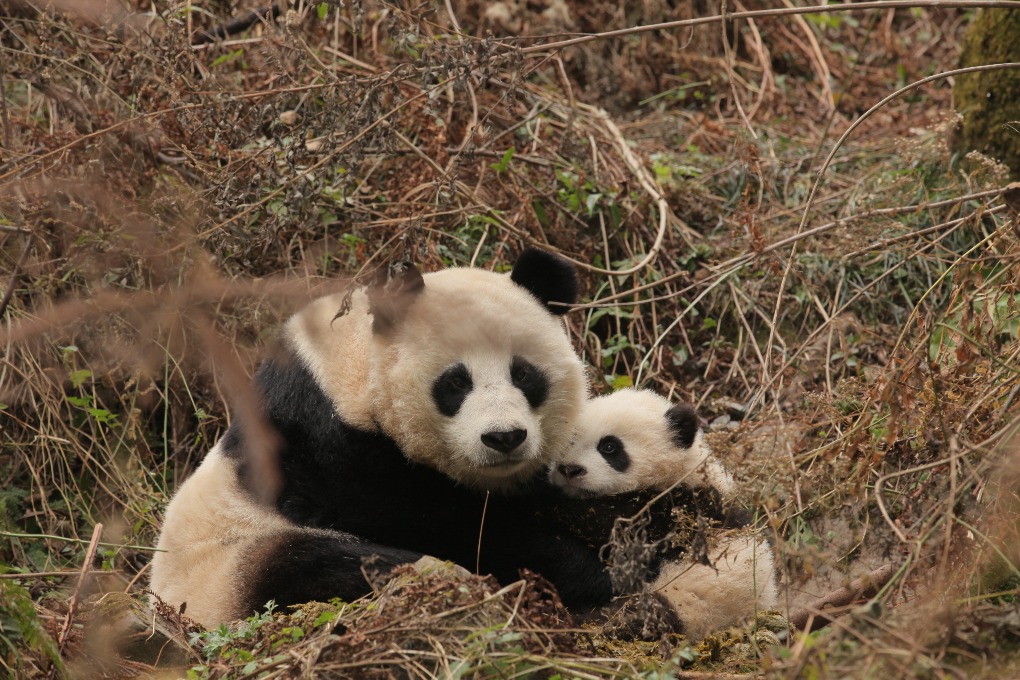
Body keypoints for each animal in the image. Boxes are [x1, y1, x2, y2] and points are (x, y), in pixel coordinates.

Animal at [148, 249, 612, 628]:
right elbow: (447, 524)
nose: (504, 437)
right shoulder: (324, 447)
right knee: (315, 565)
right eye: (456, 382)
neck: (352, 370)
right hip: (229, 565)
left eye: (524, 374)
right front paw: (585, 575)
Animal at [550, 387, 779, 644]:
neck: (681, 469)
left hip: (685, 604)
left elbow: (610, 528)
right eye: (568, 439)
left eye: (609, 447)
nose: (570, 470)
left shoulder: (682, 512)